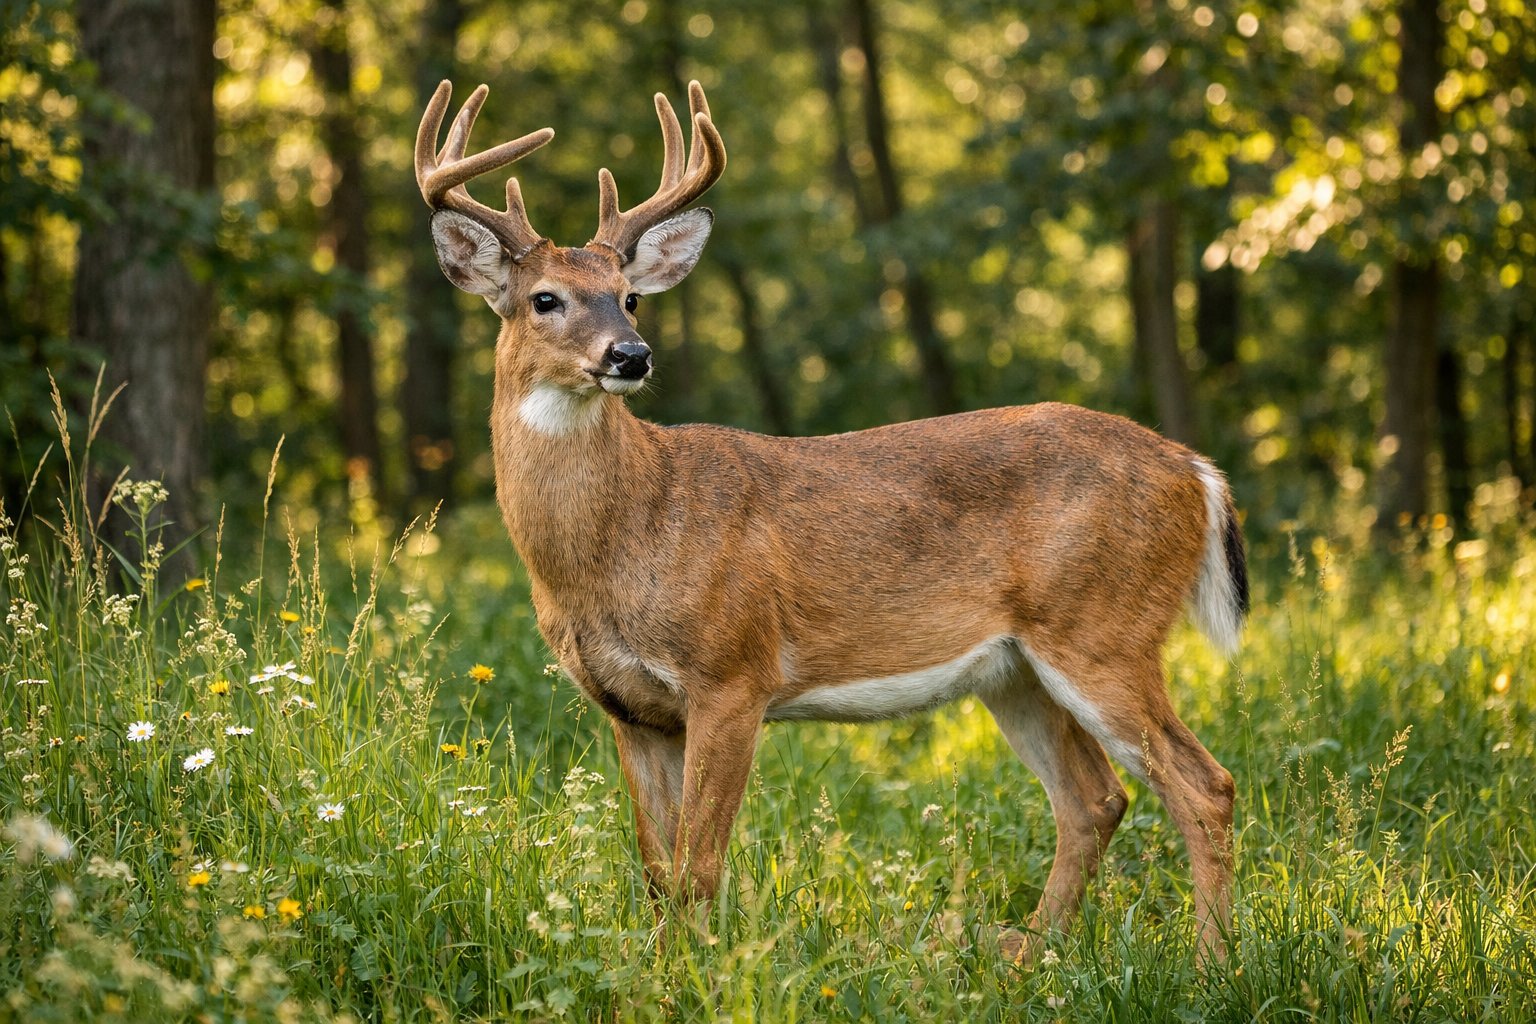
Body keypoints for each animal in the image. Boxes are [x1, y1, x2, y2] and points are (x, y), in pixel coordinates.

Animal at [414, 78, 1248, 962]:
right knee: (1095, 798)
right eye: (545, 299)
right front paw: (661, 970)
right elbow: (657, 872)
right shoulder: (629, 708)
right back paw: (1027, 951)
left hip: (1104, 628)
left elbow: (699, 865)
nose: (630, 355)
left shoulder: (733, 672)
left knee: (1204, 784)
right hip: (1015, 668)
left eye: (630, 297)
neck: (623, 537)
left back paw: (1211, 963)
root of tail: (1196, 471)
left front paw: (701, 974)